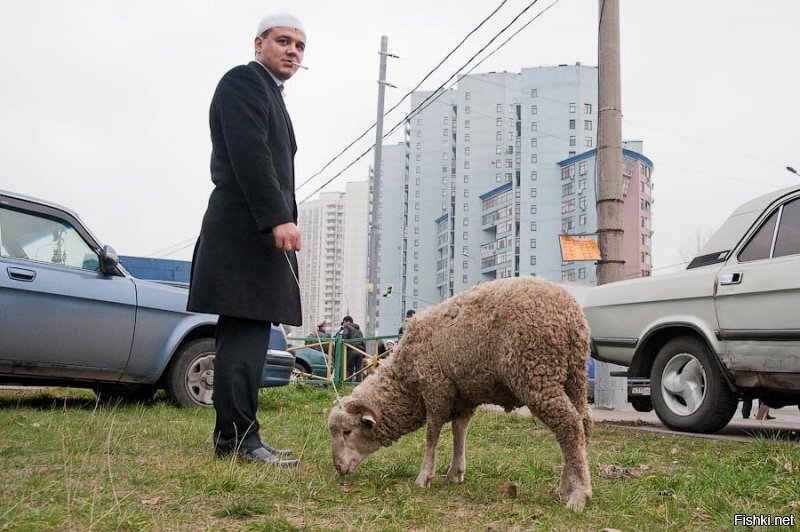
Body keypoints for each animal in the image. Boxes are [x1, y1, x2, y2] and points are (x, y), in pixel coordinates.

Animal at [326, 276, 592, 510]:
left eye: (347, 432)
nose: (337, 468)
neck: (405, 381)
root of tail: (570, 314)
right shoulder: (464, 395)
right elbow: (459, 431)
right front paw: (456, 473)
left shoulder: (436, 388)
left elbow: (432, 434)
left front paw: (424, 476)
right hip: (574, 377)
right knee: (582, 424)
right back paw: (566, 486)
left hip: (537, 372)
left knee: (569, 425)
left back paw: (578, 494)